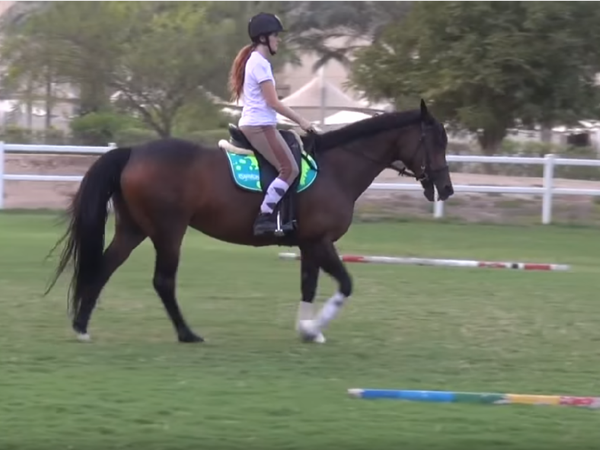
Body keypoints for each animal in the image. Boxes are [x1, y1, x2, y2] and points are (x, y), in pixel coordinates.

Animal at [44, 99, 452, 344]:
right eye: (435, 142)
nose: (446, 189)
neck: (337, 168)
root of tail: (132, 153)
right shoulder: (321, 242)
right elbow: (346, 284)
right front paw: (316, 327)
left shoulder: (309, 245)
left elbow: (308, 286)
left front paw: (307, 330)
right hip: (168, 231)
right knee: (162, 281)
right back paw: (187, 333)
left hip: (134, 228)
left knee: (104, 266)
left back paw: (82, 327)